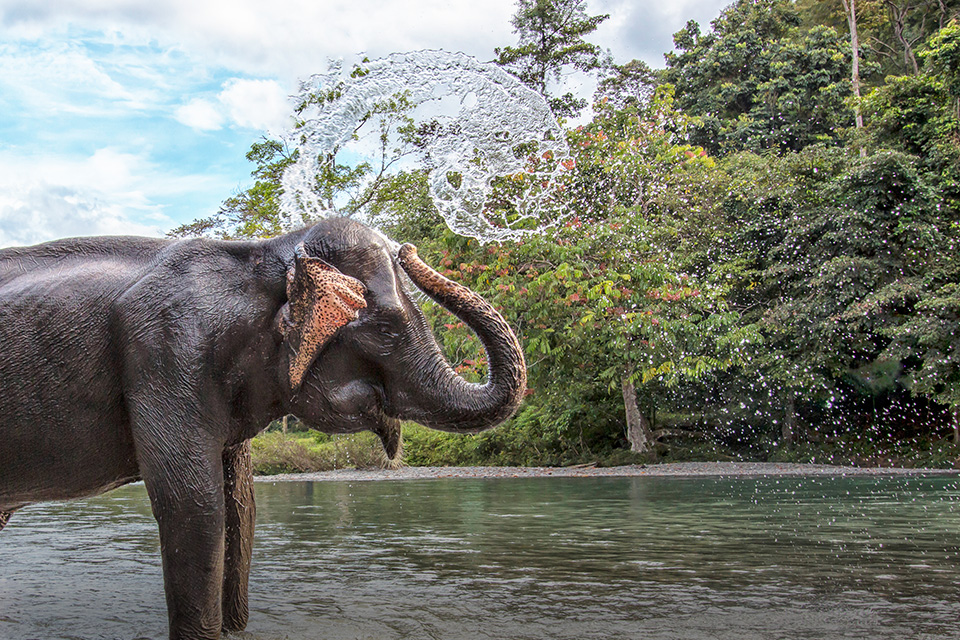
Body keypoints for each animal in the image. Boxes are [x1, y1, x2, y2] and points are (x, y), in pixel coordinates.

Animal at [0, 216, 524, 640]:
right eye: (387, 330)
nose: (410, 249)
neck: (261, 256)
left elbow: (241, 506)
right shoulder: (165, 350)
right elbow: (193, 505)